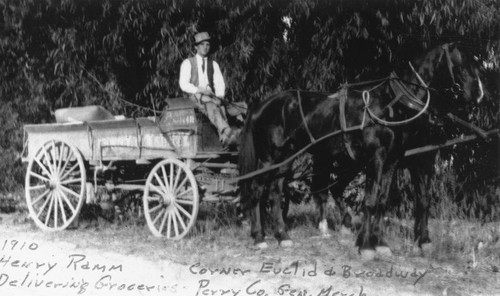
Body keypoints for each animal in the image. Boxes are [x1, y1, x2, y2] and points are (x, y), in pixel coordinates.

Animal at [238, 43, 484, 256]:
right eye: (460, 63)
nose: (478, 94)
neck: (391, 104)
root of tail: (261, 105)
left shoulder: (393, 160)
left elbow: (383, 200)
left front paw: (381, 243)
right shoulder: (377, 158)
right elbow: (370, 200)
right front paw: (366, 245)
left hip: (288, 157)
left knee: (277, 191)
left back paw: (283, 236)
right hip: (270, 157)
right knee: (257, 190)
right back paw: (259, 237)